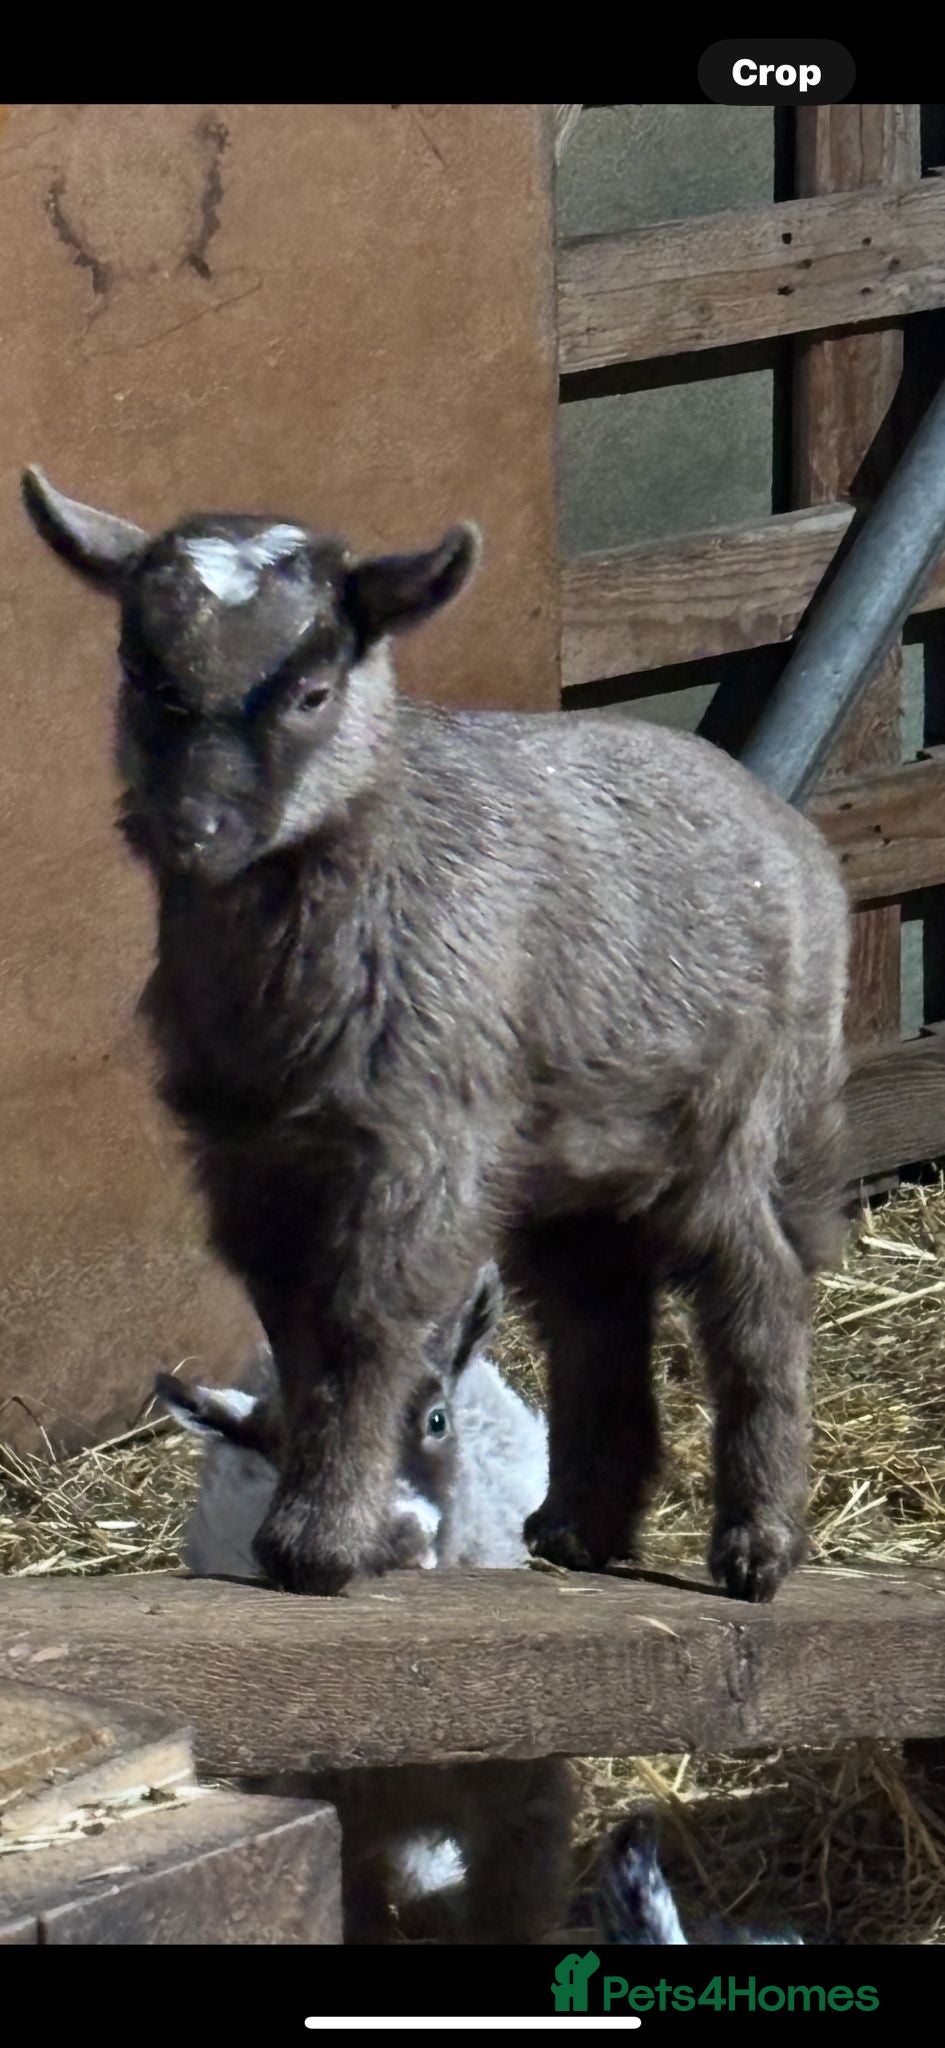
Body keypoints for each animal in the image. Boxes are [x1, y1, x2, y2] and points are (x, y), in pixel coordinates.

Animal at [23, 468, 850, 1603]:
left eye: (312, 691)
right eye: (142, 674)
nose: (194, 830)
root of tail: (798, 846)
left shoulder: (419, 1133)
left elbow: (366, 1317)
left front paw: (324, 1543)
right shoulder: (251, 1157)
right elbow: (295, 1325)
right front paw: (317, 1521)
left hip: (729, 1109)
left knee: (756, 1285)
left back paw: (757, 1545)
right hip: (574, 1147)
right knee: (596, 1310)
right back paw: (582, 1527)